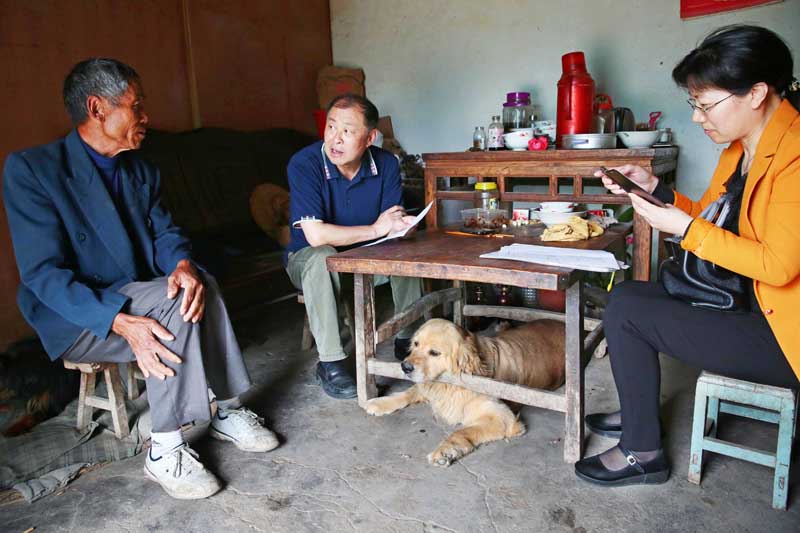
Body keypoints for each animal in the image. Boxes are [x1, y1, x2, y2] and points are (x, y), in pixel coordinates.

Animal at [365, 318, 566, 466]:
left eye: (435, 353)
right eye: (415, 343)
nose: (405, 367)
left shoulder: (502, 417)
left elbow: (461, 432)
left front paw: (445, 451)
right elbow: (407, 393)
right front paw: (379, 403)